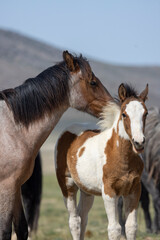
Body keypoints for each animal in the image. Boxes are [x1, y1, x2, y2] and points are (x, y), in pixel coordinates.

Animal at [55, 83, 149, 240]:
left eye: (145, 113)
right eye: (124, 114)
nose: (139, 142)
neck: (122, 157)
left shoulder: (134, 190)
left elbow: (131, 227)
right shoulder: (109, 192)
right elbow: (114, 229)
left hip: (87, 191)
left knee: (82, 217)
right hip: (67, 185)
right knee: (74, 221)